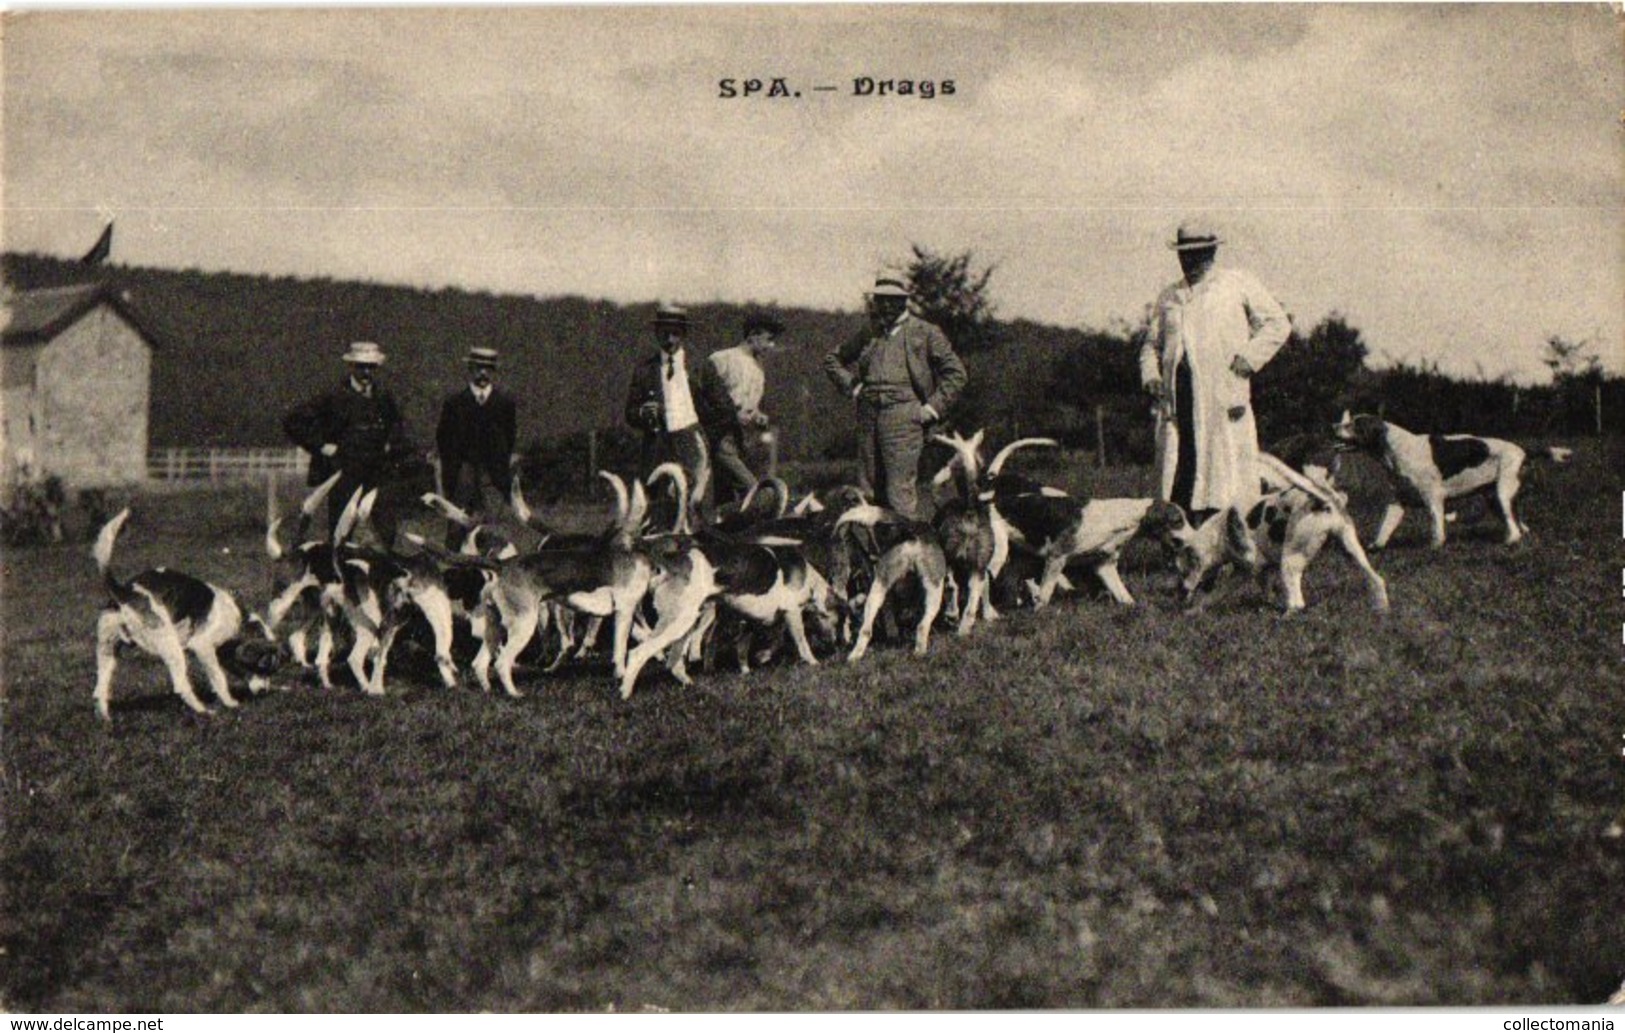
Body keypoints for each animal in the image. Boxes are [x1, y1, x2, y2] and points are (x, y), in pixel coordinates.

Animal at [90, 510, 276, 721]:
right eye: (263, 664)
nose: (264, 692)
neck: (237, 617)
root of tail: (124, 591)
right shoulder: (203, 646)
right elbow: (219, 678)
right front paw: (230, 703)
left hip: (108, 651)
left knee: (99, 690)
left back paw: (106, 719)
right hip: (171, 647)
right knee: (181, 685)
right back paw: (204, 711)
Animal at [1150, 451, 1391, 613]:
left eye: (1180, 570)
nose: (1180, 596)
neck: (1218, 534)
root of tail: (1323, 500)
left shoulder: (1248, 567)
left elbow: (1214, 593)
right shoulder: (1262, 570)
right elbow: (1264, 590)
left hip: (1291, 562)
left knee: (1298, 603)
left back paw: (1284, 617)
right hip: (1352, 551)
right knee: (1377, 580)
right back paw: (1381, 608)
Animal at [1332, 409, 1573, 548]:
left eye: (1354, 424)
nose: (1333, 425)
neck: (1395, 449)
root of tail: (1524, 451)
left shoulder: (1433, 498)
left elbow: (1436, 529)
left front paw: (1435, 548)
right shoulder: (1397, 502)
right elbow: (1384, 529)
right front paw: (1373, 548)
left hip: (1503, 494)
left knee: (1515, 528)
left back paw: (1509, 542)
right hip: (1495, 499)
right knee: (1520, 525)